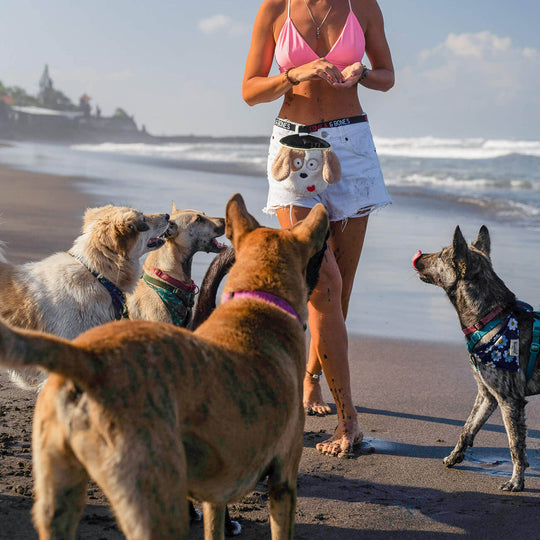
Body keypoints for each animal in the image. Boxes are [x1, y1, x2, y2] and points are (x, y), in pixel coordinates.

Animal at [414, 226, 540, 492]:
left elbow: (515, 446)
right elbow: (467, 428)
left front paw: (516, 481)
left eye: (442, 254)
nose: (418, 256)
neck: (490, 319)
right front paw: (454, 457)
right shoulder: (486, 395)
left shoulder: (509, 401)